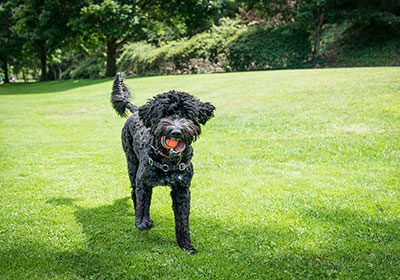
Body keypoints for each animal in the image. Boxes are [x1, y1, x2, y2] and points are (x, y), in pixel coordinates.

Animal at [109, 72, 216, 254]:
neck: (167, 160)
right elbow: (143, 202)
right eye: (165, 114)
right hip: (132, 164)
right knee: (135, 193)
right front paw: (142, 222)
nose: (176, 131)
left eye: (187, 114)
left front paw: (186, 245)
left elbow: (182, 220)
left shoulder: (182, 189)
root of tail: (137, 111)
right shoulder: (143, 182)